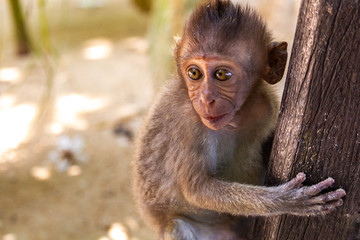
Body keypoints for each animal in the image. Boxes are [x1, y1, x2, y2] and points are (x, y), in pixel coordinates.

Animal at [134, 0, 348, 239]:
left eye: (222, 75)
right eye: (194, 73)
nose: (206, 99)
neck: (235, 119)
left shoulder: (265, 104)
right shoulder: (185, 120)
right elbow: (197, 190)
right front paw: (288, 201)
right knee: (177, 227)